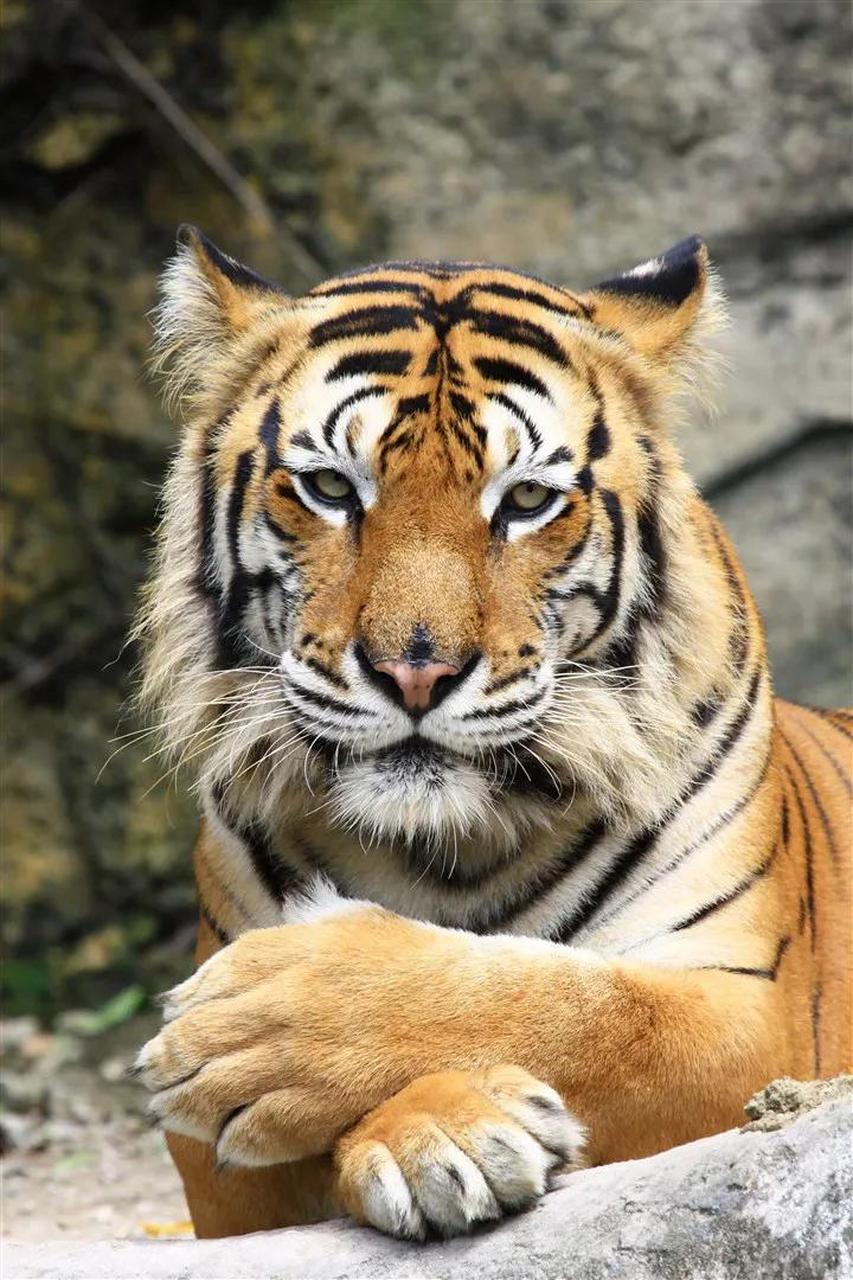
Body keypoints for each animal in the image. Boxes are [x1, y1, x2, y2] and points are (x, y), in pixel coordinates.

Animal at [132, 226, 852, 1242]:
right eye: (329, 488)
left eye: (524, 501)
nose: (415, 671)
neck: (446, 850)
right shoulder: (224, 1187)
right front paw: (444, 1132)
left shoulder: (757, 1018)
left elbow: (577, 1005)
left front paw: (262, 1029)